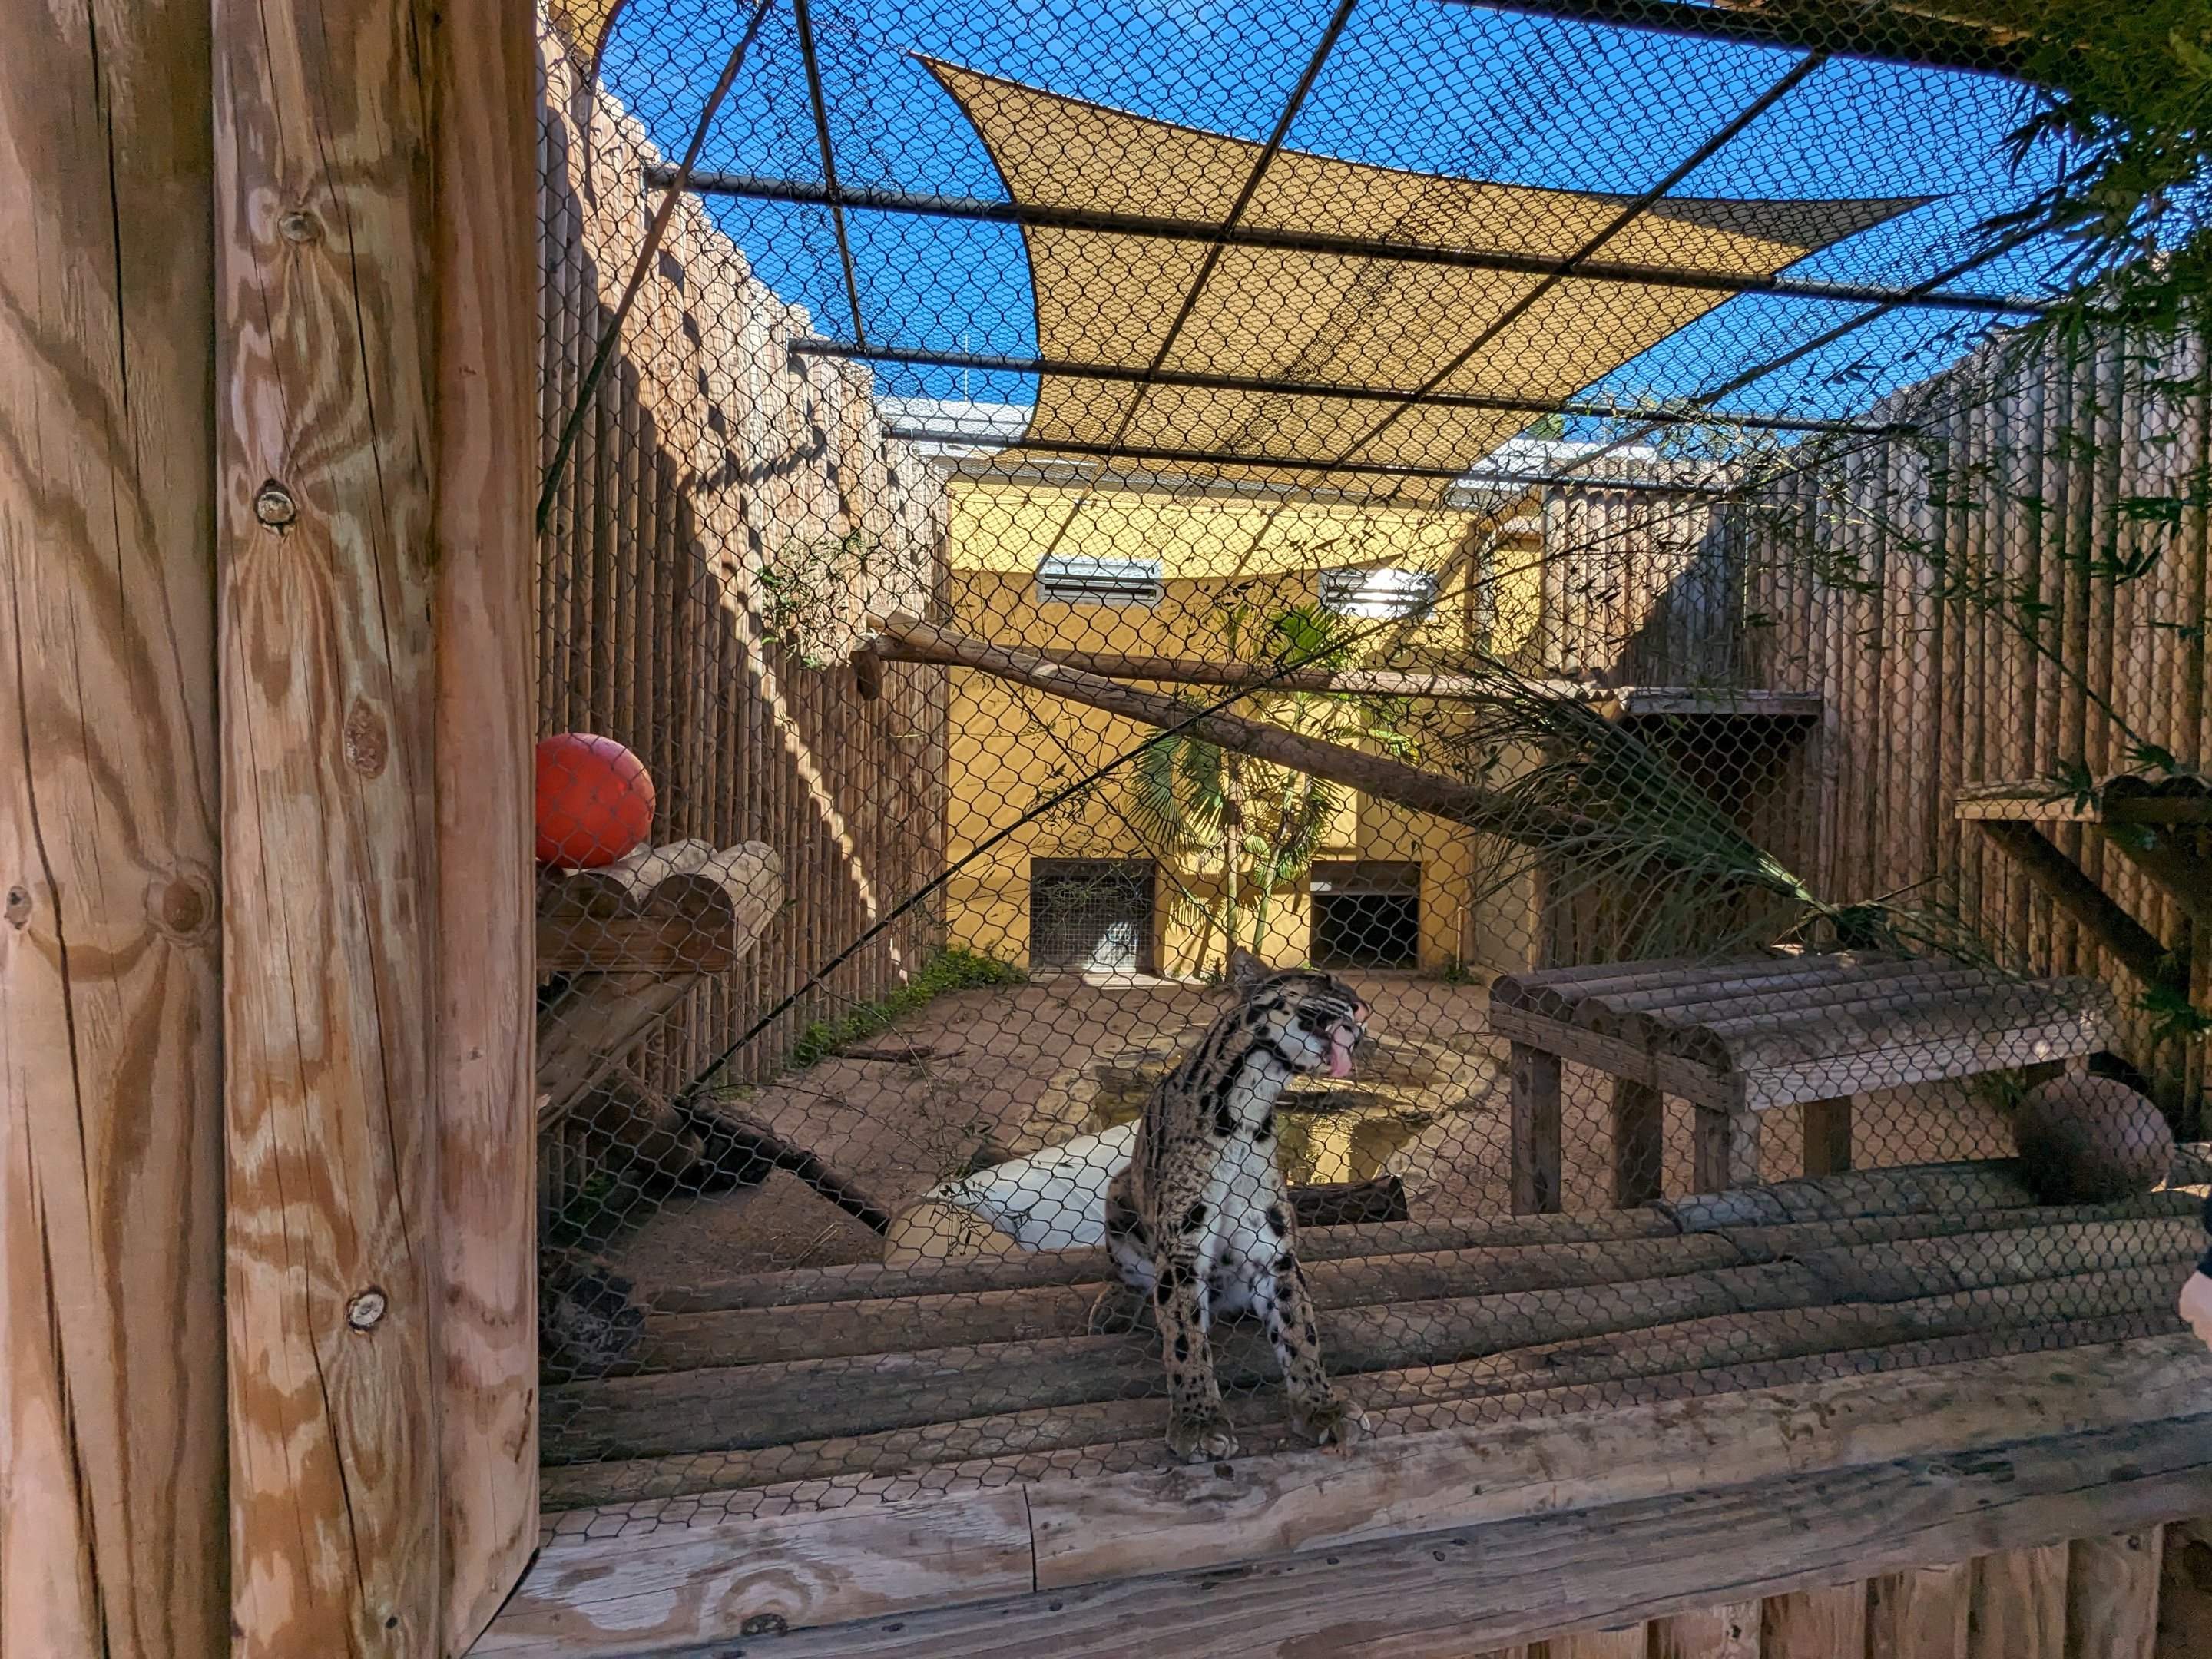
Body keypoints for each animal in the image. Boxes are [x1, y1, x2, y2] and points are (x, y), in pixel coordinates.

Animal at [1100, 948, 1373, 1462]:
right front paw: (1198, 1420)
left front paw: (1320, 1406)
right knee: (1138, 1282)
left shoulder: (1274, 1248)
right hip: (1119, 1189)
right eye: (1322, 979)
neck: (1251, 1101)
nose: (1364, 1010)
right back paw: (1119, 1305)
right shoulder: (1183, 1246)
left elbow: (1300, 1331)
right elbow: (1185, 1340)